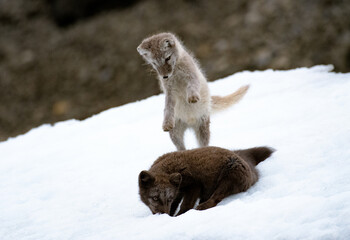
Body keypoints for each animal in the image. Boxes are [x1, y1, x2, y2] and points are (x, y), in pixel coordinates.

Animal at [138, 145, 274, 217]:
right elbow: (176, 205)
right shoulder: (178, 191)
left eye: (169, 198)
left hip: (230, 174)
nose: (162, 215)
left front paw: (179, 216)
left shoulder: (194, 185)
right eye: (155, 198)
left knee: (215, 199)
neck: (169, 168)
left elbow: (185, 205)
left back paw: (201, 207)